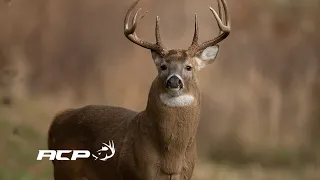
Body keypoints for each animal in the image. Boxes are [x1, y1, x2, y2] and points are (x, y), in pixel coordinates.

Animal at [47, 0, 230, 179]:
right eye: (163, 66)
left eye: (189, 67)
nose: (173, 81)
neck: (171, 161)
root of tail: (57, 119)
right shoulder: (133, 172)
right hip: (65, 170)